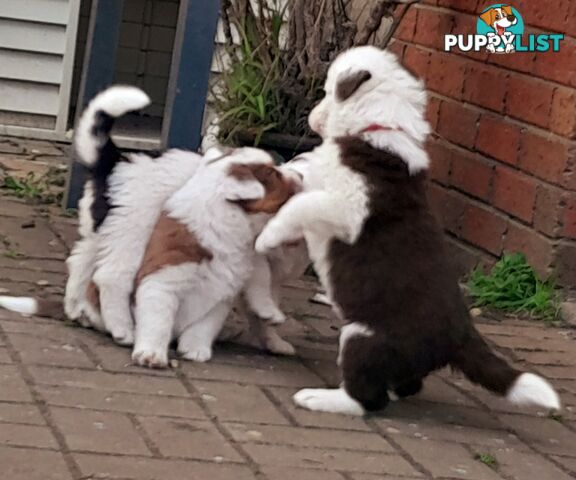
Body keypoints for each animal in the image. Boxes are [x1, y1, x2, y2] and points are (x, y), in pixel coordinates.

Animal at [254, 47, 560, 418]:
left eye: (328, 92)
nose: (312, 119)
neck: (378, 128)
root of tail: (460, 334)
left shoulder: (346, 208)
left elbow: (300, 204)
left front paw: (267, 237)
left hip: (364, 338)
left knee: (368, 399)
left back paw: (320, 398)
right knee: (406, 385)